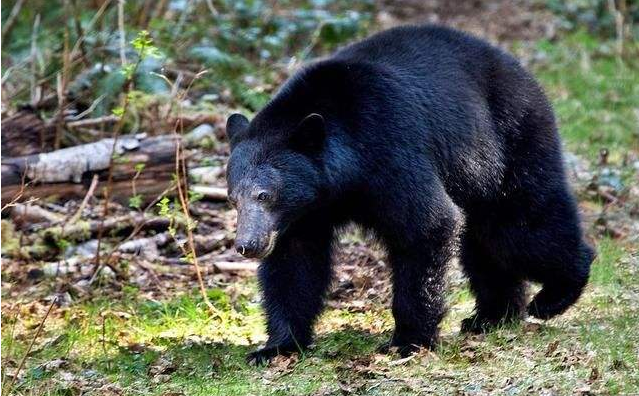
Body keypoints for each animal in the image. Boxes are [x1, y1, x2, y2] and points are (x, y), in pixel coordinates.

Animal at [225, 25, 596, 366]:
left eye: (264, 194)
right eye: (233, 198)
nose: (248, 245)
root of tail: (517, 67)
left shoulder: (391, 151)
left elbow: (426, 225)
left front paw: (409, 340)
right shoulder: (304, 212)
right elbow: (294, 263)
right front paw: (277, 347)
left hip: (510, 141)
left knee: (520, 226)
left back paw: (556, 292)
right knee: (483, 243)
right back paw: (492, 317)